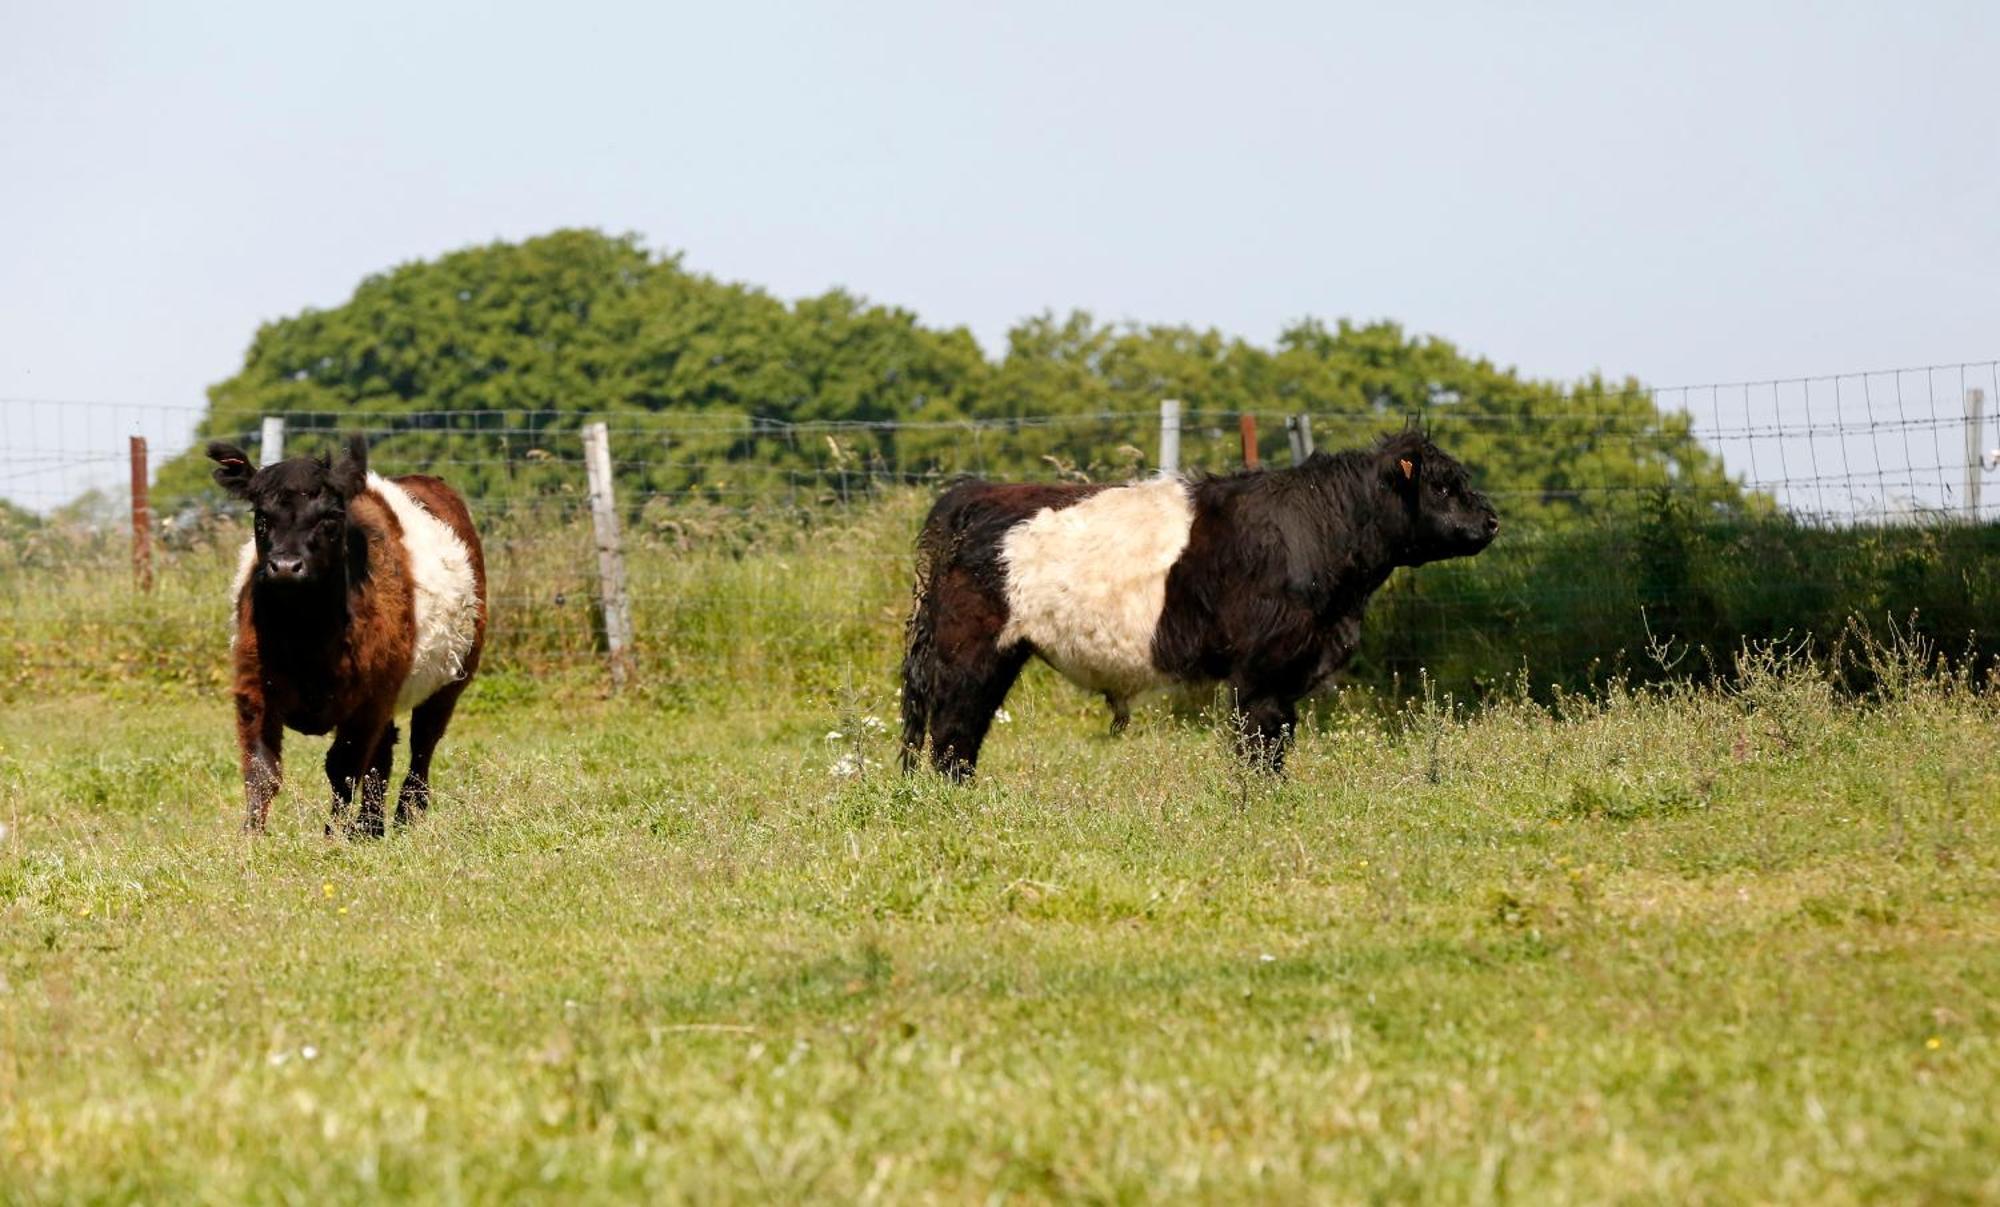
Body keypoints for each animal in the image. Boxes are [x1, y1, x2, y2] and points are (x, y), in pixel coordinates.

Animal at [210, 435, 488, 839]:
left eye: (330, 517)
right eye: (261, 518)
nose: (286, 567)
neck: (306, 635)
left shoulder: (368, 701)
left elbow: (342, 766)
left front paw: (333, 834)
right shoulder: (253, 689)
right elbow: (261, 768)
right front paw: (251, 836)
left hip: (449, 680)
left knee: (422, 746)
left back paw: (403, 817)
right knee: (384, 755)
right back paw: (371, 826)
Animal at [900, 429, 1496, 779]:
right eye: (1443, 487)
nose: (1491, 520)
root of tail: (974, 495)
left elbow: (1278, 736)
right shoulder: (1263, 670)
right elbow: (1261, 740)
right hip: (972, 649)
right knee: (953, 726)